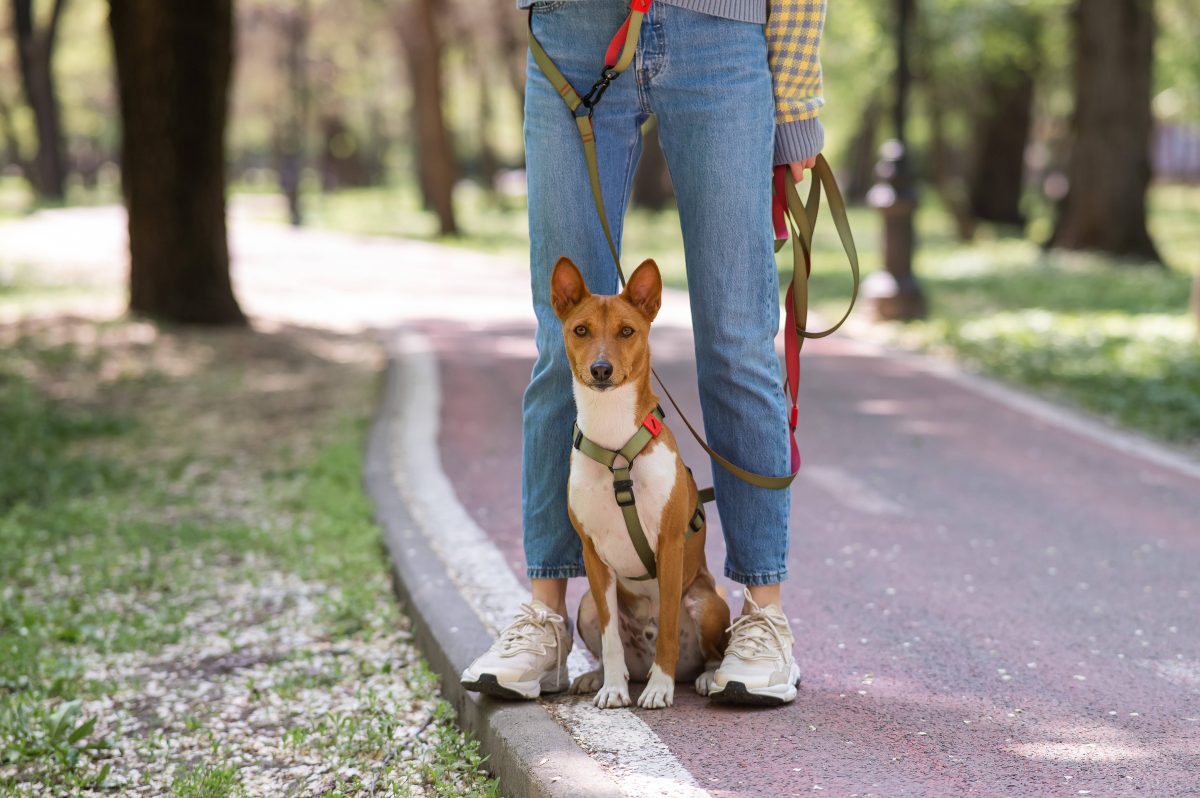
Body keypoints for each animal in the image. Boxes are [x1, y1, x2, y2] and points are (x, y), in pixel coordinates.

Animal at [549, 256, 724, 710]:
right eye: (581, 330)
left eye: (627, 331)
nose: (601, 369)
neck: (615, 445)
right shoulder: (593, 554)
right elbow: (610, 639)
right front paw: (612, 687)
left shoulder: (669, 545)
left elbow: (667, 631)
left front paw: (660, 690)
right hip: (586, 604)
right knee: (615, 647)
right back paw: (598, 677)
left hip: (705, 602)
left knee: (707, 651)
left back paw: (704, 677)